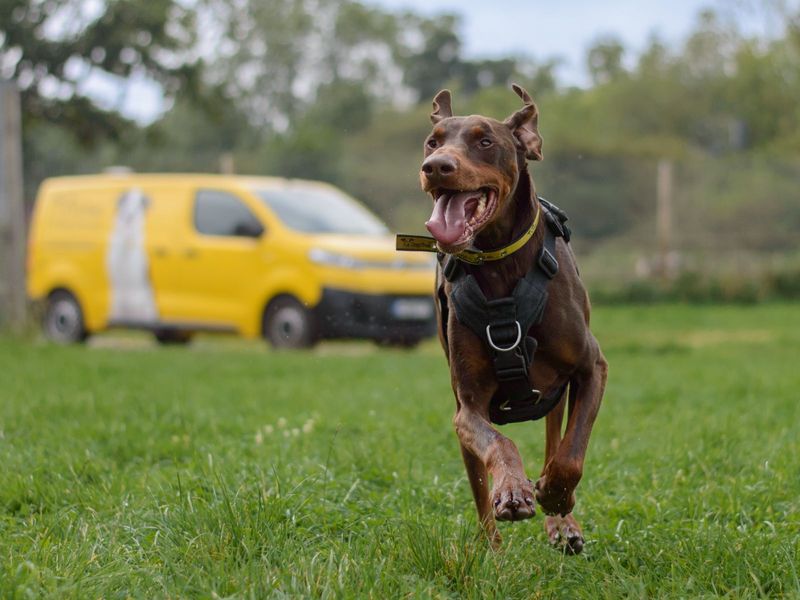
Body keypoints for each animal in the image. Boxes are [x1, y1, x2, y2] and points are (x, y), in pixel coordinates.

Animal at [412, 84, 608, 552]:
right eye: (432, 141)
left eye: (485, 141)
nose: (436, 166)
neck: (500, 264)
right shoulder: (468, 407)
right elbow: (498, 443)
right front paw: (514, 491)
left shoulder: (592, 367)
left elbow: (571, 454)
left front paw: (555, 495)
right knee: (480, 488)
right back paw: (493, 549)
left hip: (557, 388)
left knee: (555, 438)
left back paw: (562, 522)